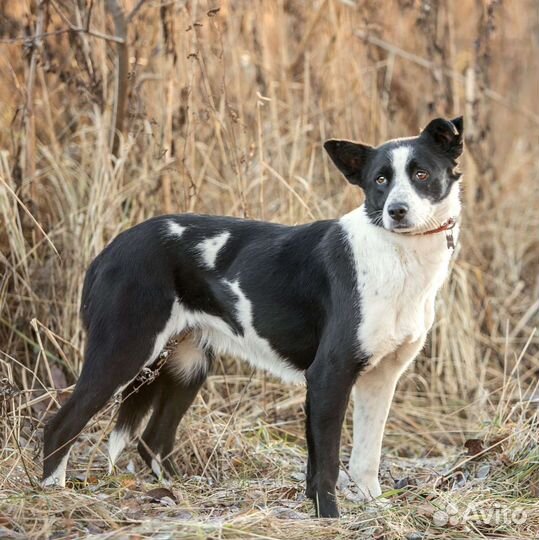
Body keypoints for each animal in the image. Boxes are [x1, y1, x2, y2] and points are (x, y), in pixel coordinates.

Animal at [43, 116, 464, 516]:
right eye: (380, 179)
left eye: (421, 174)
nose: (396, 211)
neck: (396, 252)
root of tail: (108, 251)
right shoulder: (329, 374)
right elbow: (327, 464)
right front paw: (329, 515)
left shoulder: (381, 378)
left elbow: (365, 458)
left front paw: (372, 507)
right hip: (124, 352)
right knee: (60, 426)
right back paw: (53, 494)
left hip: (188, 365)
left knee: (153, 441)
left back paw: (178, 494)